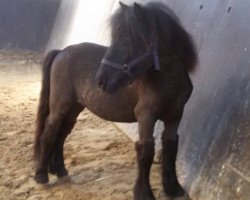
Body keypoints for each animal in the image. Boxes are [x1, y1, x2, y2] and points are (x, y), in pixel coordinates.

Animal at [33, 1, 197, 200]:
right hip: (60, 105)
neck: (166, 82)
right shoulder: (146, 116)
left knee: (62, 133)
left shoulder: (175, 115)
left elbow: (170, 146)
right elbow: (146, 150)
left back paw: (59, 169)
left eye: (126, 41)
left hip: (75, 107)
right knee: (49, 131)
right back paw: (41, 175)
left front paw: (173, 188)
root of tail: (62, 51)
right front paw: (144, 193)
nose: (100, 80)